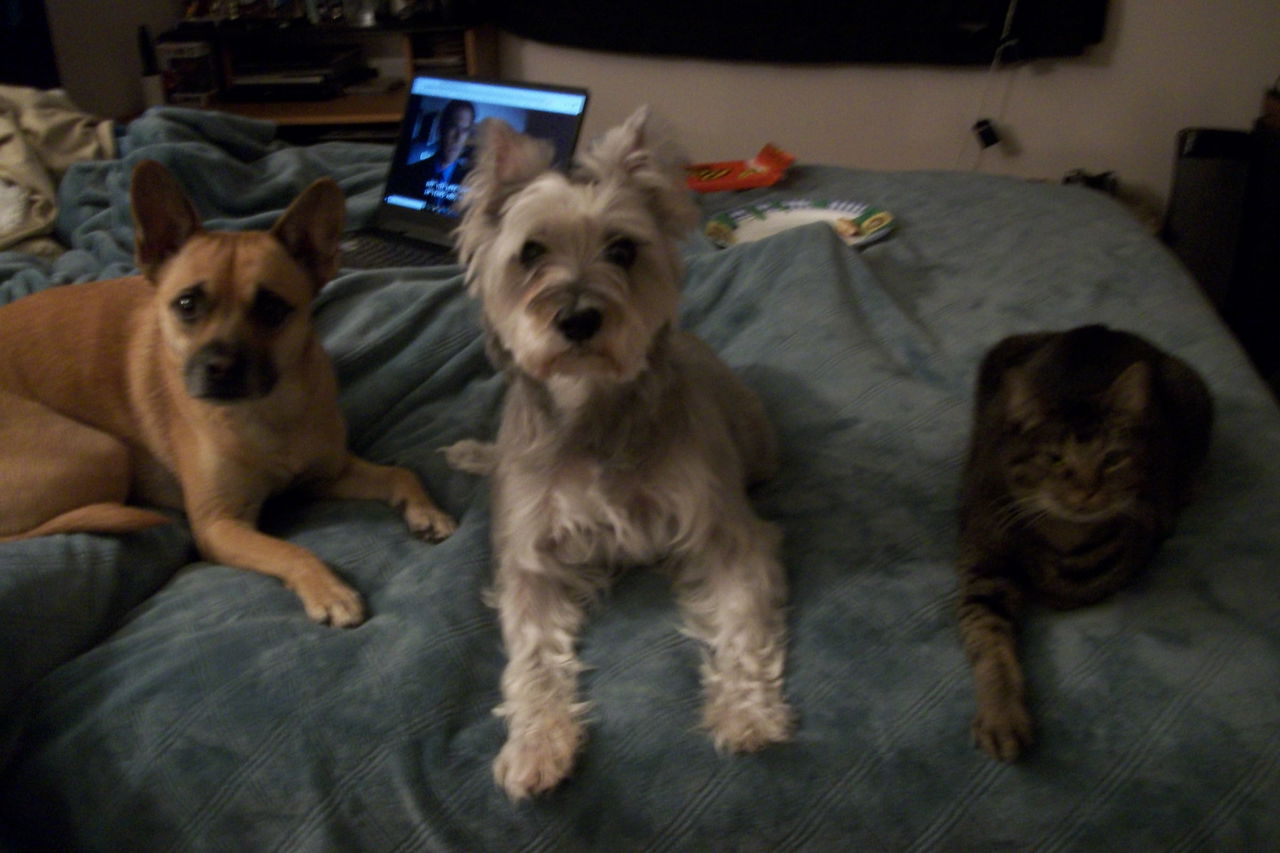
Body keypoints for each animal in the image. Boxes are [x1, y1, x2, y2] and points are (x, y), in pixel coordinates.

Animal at [0, 159, 455, 627]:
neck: (269, 411)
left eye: (272, 309)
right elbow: (290, 550)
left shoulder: (329, 474)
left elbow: (401, 472)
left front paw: (427, 511)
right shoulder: (220, 525)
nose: (219, 369)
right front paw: (330, 589)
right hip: (104, 452)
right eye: (186, 305)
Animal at [447, 108, 793, 800]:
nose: (579, 318)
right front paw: (536, 744)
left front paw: (746, 712)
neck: (592, 408)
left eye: (624, 249)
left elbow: (741, 624)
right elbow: (532, 658)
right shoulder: (532, 560)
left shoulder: (725, 534)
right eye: (530, 252)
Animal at [956, 324, 1212, 762]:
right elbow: (988, 637)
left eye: (1113, 459)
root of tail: (1104, 329)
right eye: (1055, 459)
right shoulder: (984, 563)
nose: (1088, 490)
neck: (1063, 540)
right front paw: (1002, 714)